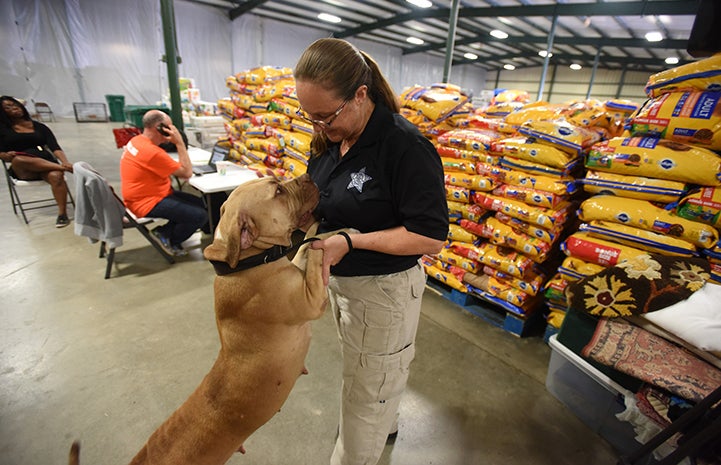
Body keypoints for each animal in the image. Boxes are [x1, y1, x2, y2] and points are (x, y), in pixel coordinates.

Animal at [71, 174, 344, 464]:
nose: (308, 175)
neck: (244, 261)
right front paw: (335, 233)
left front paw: (320, 226)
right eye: (279, 190)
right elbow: (316, 251)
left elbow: (306, 245)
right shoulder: (312, 297)